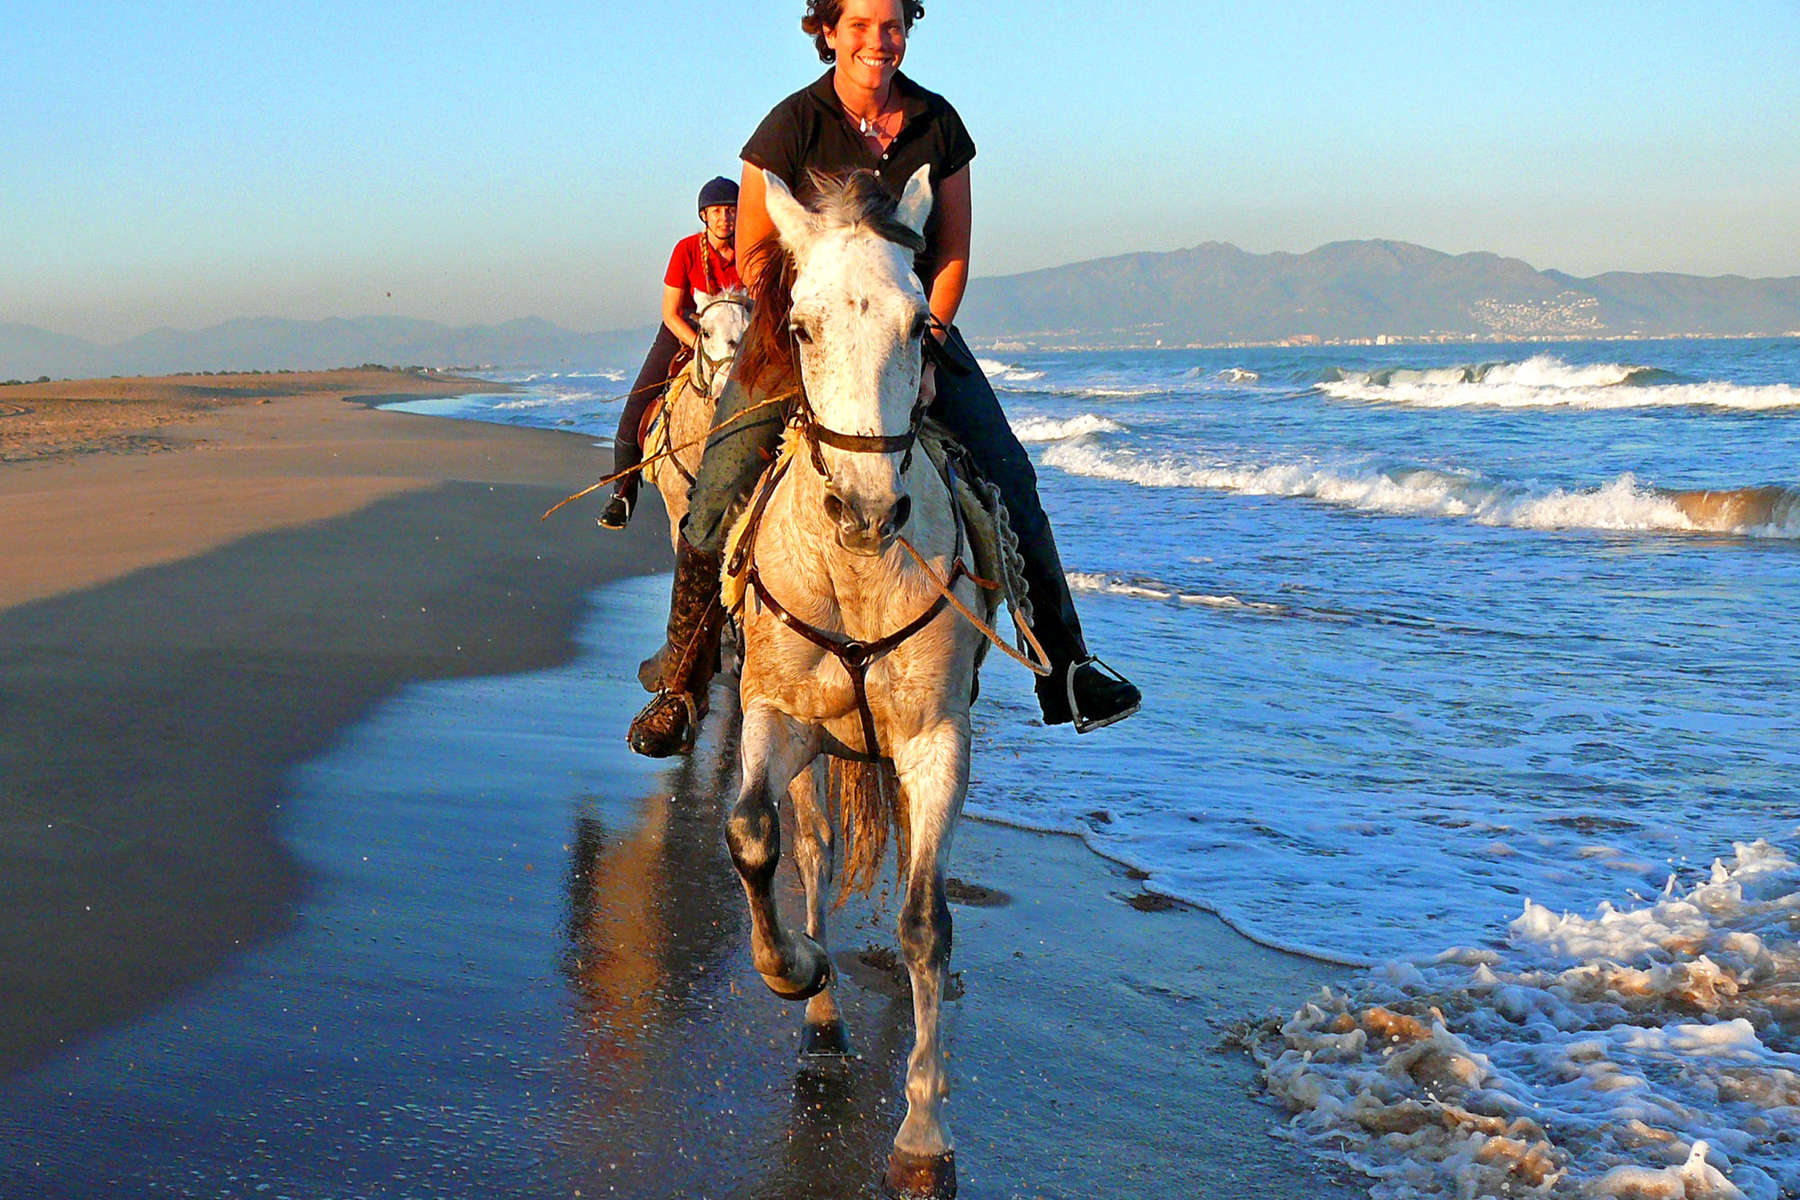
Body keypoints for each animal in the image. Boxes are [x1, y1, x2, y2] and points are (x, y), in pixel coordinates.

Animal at [723, 169, 993, 1200]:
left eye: (922, 326)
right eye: (799, 328)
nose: (869, 512)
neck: (858, 573)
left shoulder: (935, 738)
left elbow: (924, 920)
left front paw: (922, 1133)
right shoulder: (777, 714)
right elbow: (753, 837)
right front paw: (795, 972)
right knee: (810, 851)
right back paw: (823, 1022)